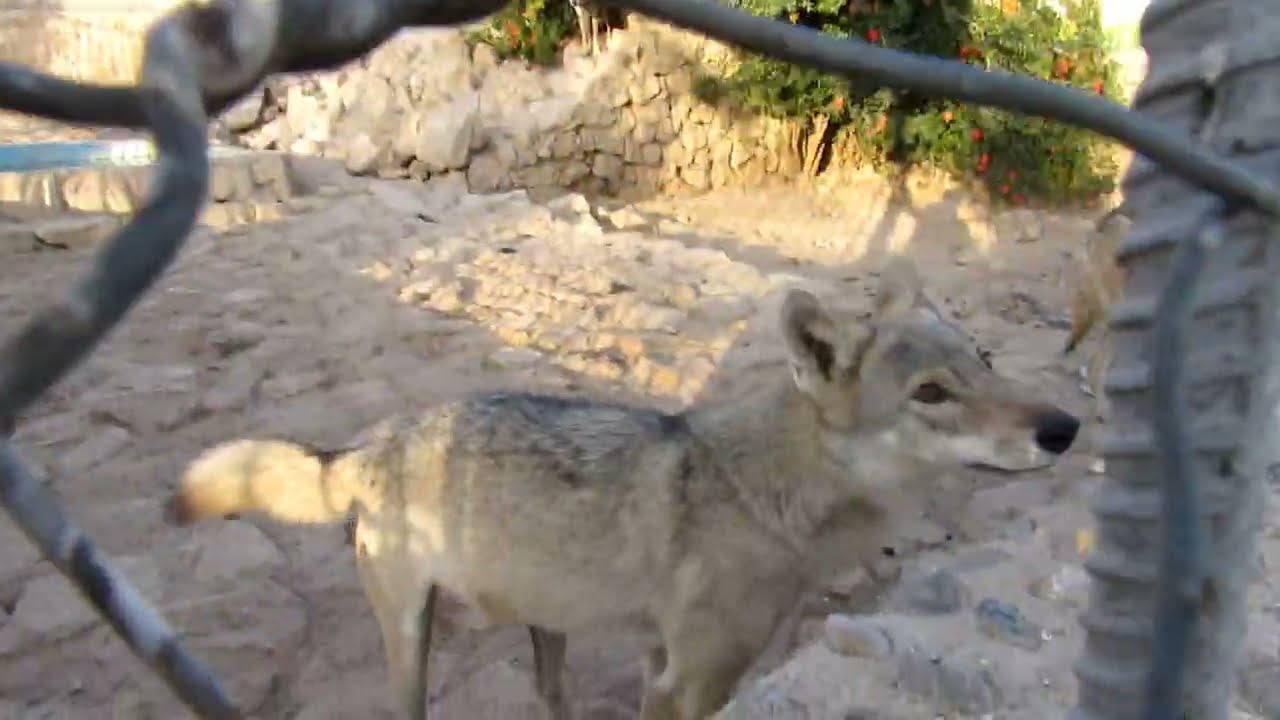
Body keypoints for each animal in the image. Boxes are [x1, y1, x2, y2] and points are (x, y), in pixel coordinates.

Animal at [167, 257, 1080, 720]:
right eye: (931, 394)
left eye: (985, 364)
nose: (1066, 429)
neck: (771, 499)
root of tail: (373, 440)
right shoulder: (694, 684)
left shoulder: (659, 665)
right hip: (414, 644)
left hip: (549, 626)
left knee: (551, 695)